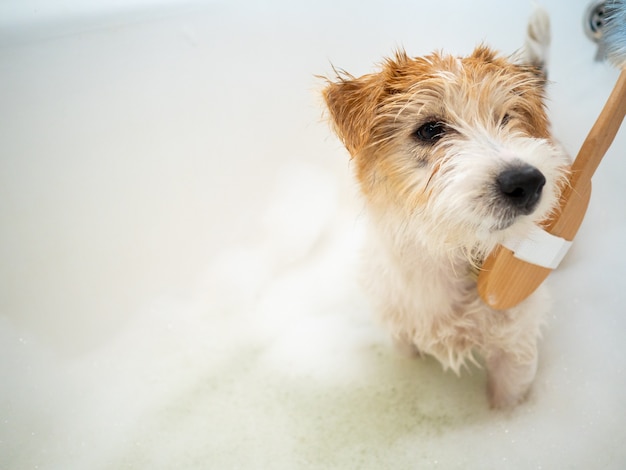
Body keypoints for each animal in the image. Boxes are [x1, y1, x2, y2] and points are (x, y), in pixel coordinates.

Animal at [320, 8, 568, 408]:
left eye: (506, 118)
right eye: (429, 130)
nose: (527, 181)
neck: (446, 255)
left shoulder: (514, 353)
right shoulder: (401, 338)